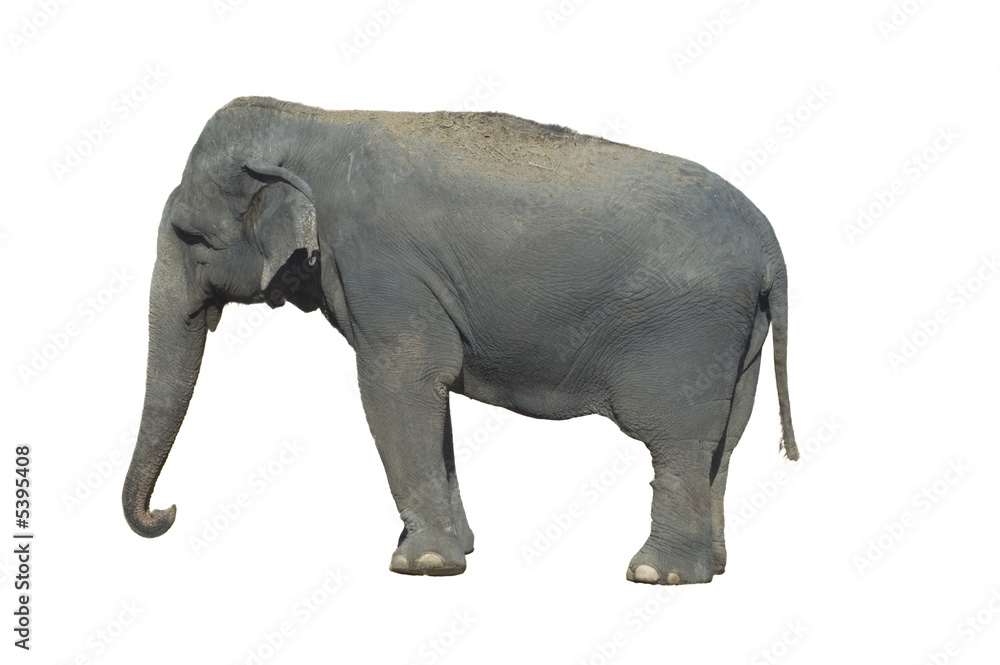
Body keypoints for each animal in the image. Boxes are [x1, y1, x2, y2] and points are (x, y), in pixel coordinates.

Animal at [122, 96, 797, 585]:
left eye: (190, 235)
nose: (169, 512)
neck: (312, 119)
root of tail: (770, 244)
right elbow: (429, 393)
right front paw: (456, 550)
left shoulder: (380, 267)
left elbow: (398, 380)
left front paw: (418, 565)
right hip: (741, 341)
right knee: (723, 443)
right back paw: (713, 568)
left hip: (688, 333)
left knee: (677, 440)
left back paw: (658, 575)